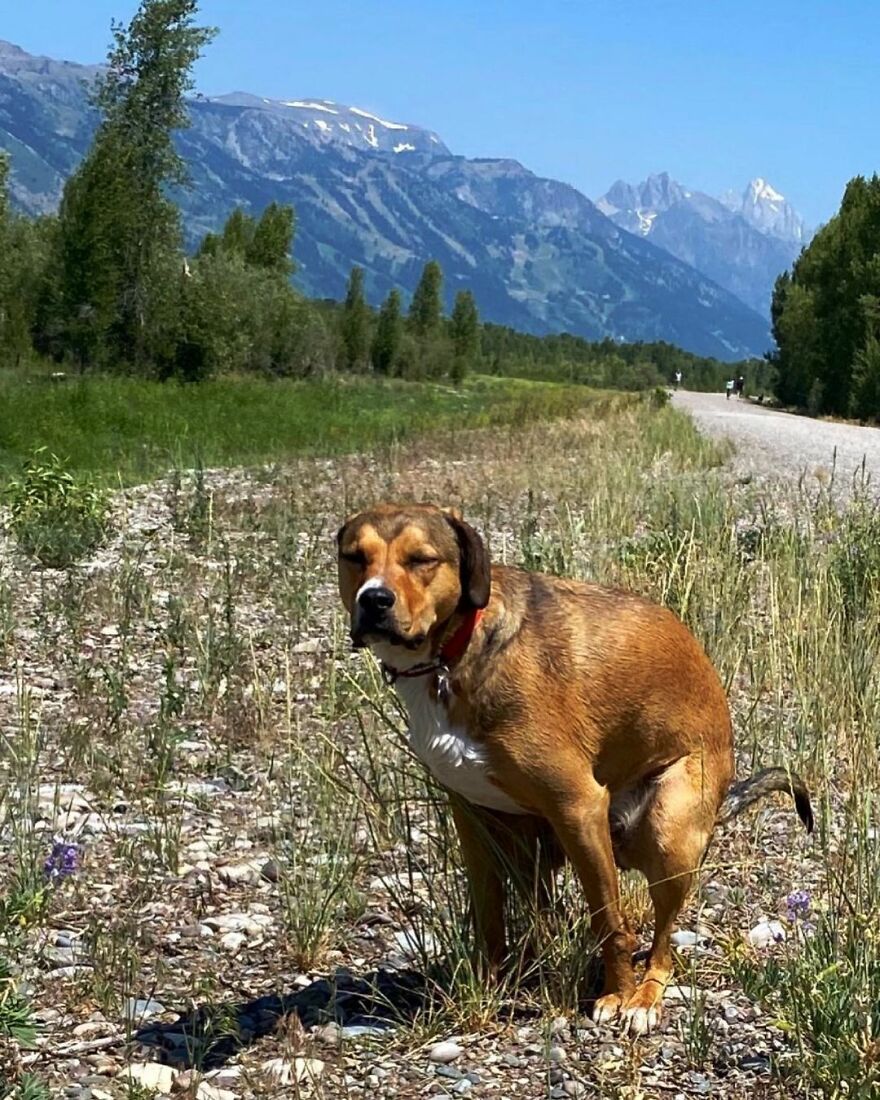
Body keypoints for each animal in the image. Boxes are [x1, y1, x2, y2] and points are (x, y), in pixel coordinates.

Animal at [334, 503, 809, 1034]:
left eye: (421, 559)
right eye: (354, 556)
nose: (374, 600)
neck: (454, 653)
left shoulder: (577, 807)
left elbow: (609, 921)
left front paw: (616, 995)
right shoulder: (472, 818)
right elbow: (489, 915)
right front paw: (488, 984)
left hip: (666, 832)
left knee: (663, 948)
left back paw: (644, 998)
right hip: (530, 843)